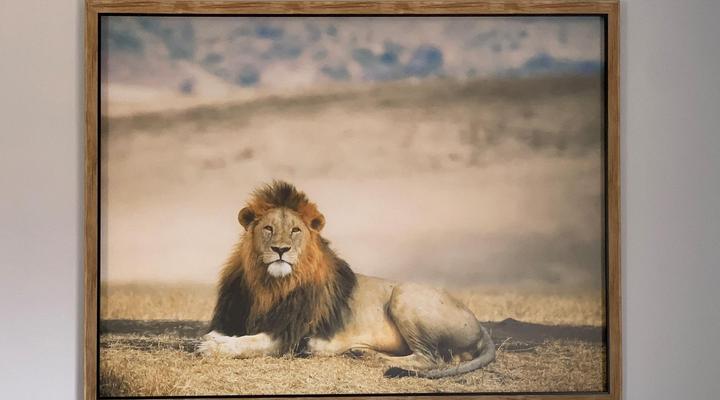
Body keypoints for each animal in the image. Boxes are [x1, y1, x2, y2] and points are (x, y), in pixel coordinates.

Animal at [199, 181, 495, 378]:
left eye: (295, 230)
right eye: (268, 228)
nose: (280, 249)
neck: (270, 286)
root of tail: (480, 325)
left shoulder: (290, 335)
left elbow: (250, 342)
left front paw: (212, 345)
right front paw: (215, 337)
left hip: (404, 295)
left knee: (433, 359)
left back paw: (377, 359)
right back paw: (361, 352)